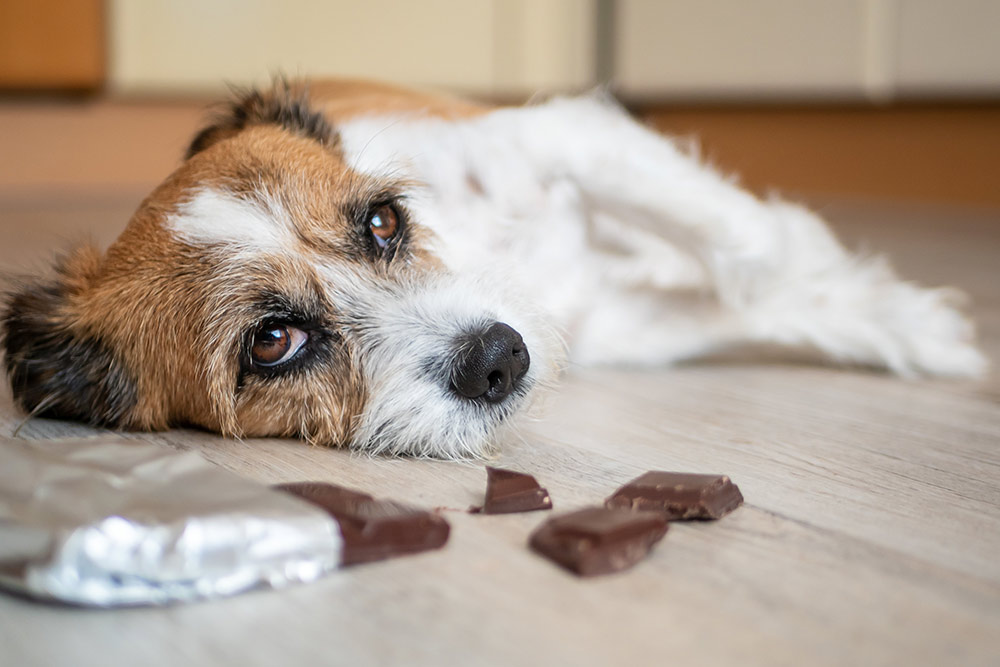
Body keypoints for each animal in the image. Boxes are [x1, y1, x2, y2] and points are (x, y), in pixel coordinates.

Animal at [0, 78, 984, 460]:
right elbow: (752, 294)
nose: (500, 357)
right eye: (272, 341)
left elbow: (751, 248)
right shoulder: (622, 326)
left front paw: (912, 322)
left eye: (383, 221)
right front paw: (904, 322)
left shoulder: (563, 136)